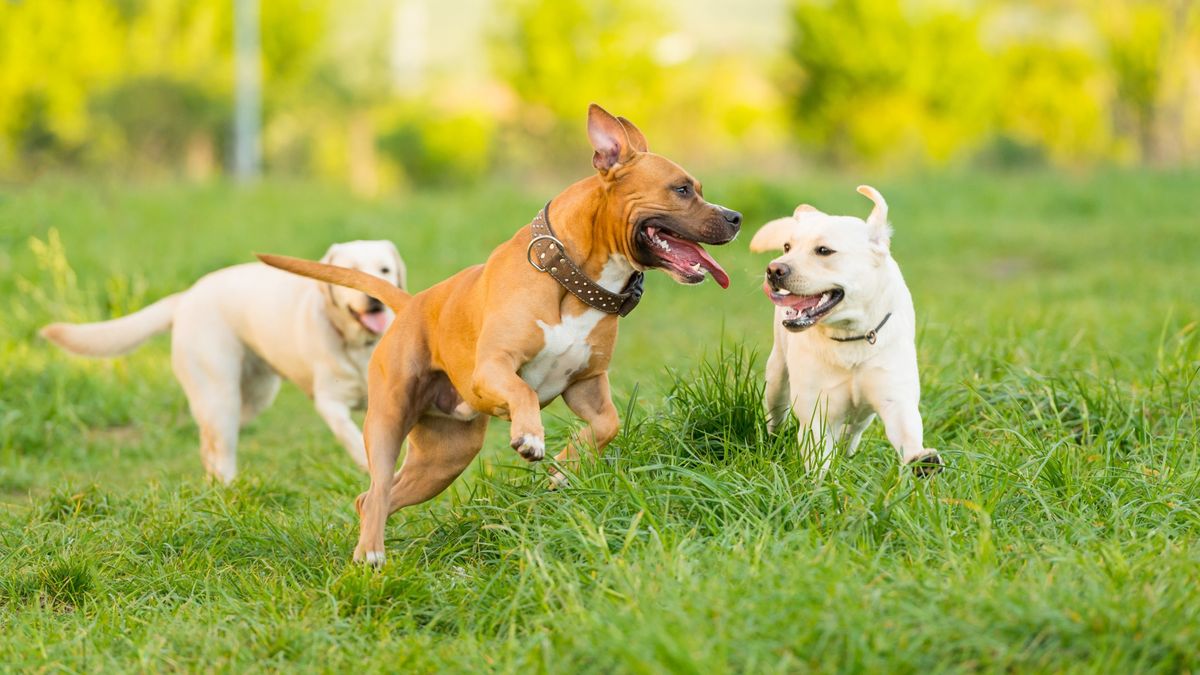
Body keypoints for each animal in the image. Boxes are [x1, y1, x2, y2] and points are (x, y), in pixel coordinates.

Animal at [42, 239, 408, 480]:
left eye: (385, 269)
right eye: (347, 272)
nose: (375, 297)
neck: (359, 345)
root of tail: (185, 297)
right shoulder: (330, 403)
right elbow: (350, 435)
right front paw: (367, 464)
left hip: (254, 398)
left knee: (210, 444)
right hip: (220, 395)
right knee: (220, 450)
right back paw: (229, 492)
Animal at [258, 103, 734, 562]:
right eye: (682, 189)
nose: (736, 217)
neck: (569, 278)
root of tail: (411, 303)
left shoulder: (588, 385)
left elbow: (608, 425)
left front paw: (563, 469)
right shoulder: (492, 368)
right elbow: (524, 392)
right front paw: (531, 438)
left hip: (444, 459)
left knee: (374, 495)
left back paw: (367, 548)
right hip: (387, 421)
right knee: (376, 489)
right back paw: (372, 554)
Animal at [748, 186, 936, 475]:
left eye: (824, 250)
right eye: (787, 247)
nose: (774, 269)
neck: (849, 336)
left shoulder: (895, 398)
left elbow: (907, 434)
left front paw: (922, 461)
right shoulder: (817, 412)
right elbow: (818, 458)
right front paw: (821, 482)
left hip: (863, 413)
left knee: (854, 428)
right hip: (777, 378)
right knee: (776, 416)